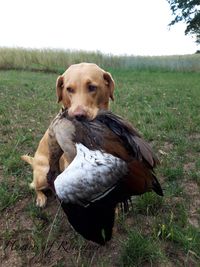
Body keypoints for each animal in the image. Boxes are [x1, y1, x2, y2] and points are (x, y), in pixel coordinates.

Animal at [21, 62, 115, 207]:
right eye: (69, 89)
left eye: (92, 87)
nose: (79, 116)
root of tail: (34, 161)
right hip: (43, 175)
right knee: (33, 186)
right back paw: (41, 198)